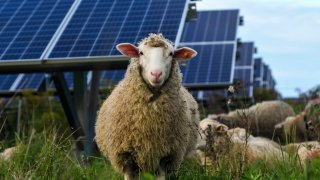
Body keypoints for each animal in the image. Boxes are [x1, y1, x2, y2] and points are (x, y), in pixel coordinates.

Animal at [95, 33, 200, 179]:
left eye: (171, 53)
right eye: (141, 53)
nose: (156, 74)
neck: (149, 119)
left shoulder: (165, 157)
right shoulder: (126, 158)